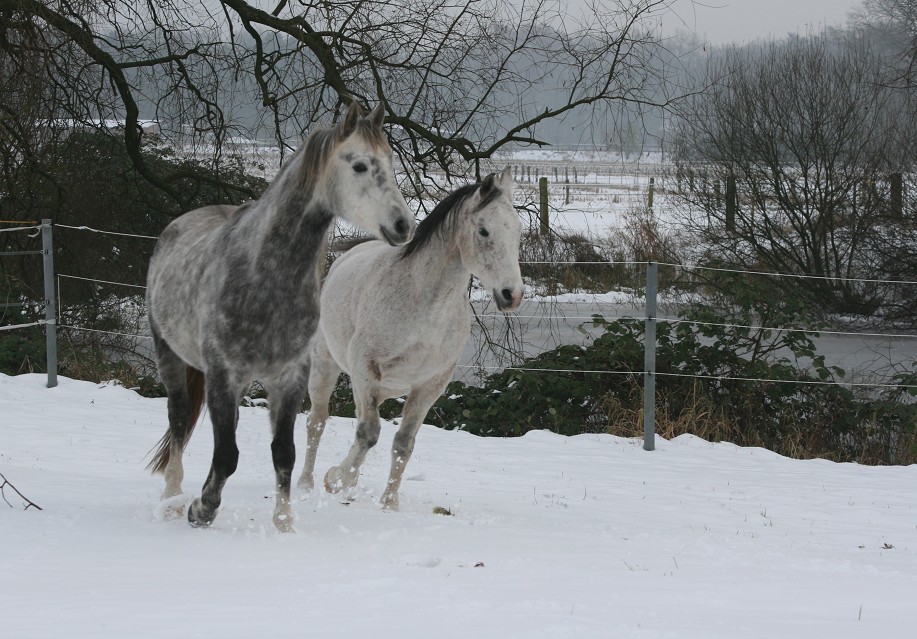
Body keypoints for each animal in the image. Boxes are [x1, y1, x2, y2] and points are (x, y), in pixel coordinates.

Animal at [145, 101, 414, 528]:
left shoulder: (288, 378)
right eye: (358, 165)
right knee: (178, 419)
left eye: (389, 161)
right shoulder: (224, 373)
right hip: (169, 353)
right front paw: (202, 509)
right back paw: (172, 498)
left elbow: (282, 452)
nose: (404, 225)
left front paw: (283, 522)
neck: (264, 276)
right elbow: (227, 454)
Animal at [300, 169, 524, 510]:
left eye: (518, 232)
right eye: (484, 231)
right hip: (327, 367)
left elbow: (403, 443)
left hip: (383, 388)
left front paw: (388, 504)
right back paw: (306, 484)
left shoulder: (430, 385)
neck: (424, 306)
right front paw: (336, 479)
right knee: (317, 422)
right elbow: (368, 433)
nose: (513, 294)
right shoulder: (365, 367)